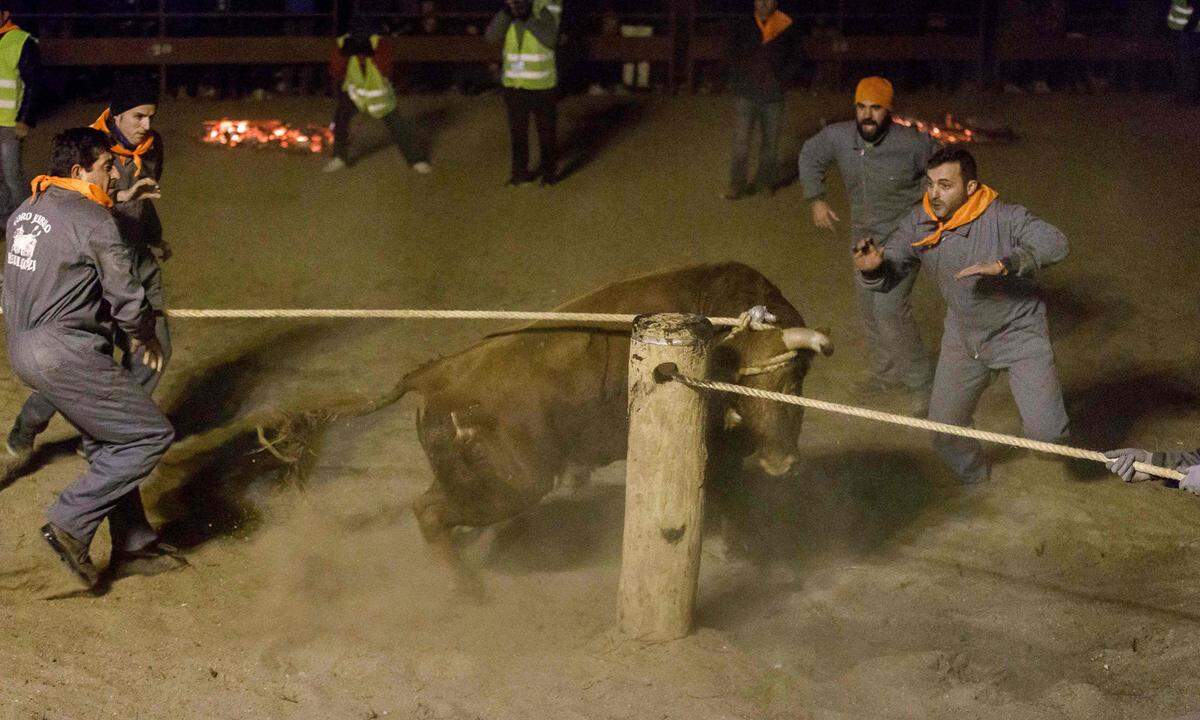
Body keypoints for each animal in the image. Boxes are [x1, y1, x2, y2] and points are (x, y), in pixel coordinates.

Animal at [388, 262, 830, 561]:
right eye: (750, 389)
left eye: (794, 383)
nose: (780, 464)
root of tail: (436, 374)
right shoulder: (717, 455)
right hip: (512, 486)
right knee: (429, 512)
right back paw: (470, 591)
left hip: (474, 479)